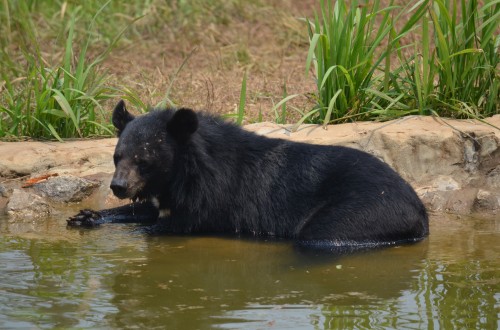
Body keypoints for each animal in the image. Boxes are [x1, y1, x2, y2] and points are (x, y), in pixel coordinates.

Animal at [67, 100, 430, 248]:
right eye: (117, 157)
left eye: (144, 160)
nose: (118, 186)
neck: (182, 173)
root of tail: (420, 210)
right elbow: (147, 210)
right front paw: (85, 217)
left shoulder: (212, 198)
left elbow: (174, 222)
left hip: (362, 212)